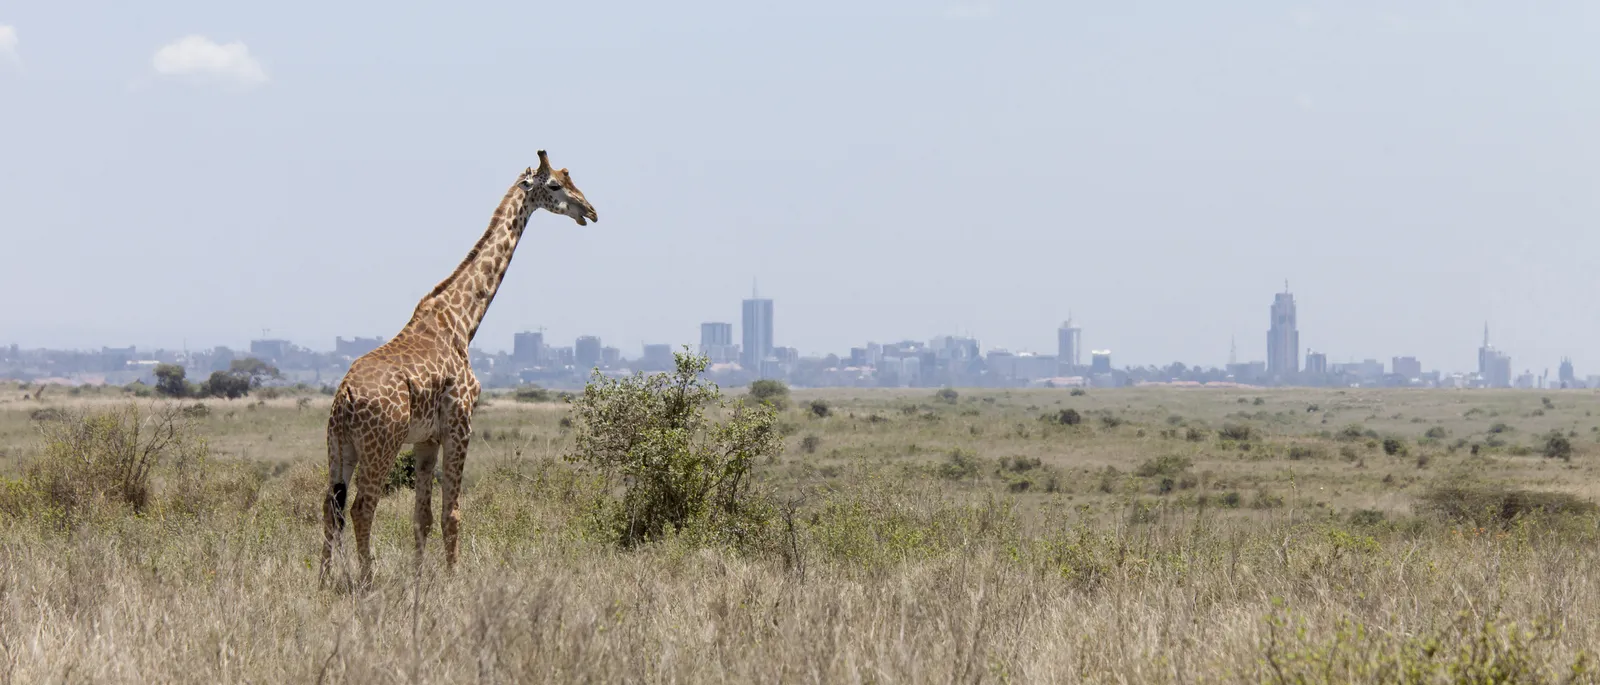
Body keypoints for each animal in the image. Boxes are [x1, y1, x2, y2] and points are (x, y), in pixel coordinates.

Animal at [321, 150, 597, 587]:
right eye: (554, 184)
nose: (590, 211)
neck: (463, 321)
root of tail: (344, 398)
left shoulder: (426, 438)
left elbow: (422, 515)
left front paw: (419, 578)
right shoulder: (460, 423)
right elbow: (452, 513)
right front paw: (454, 579)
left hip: (338, 445)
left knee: (330, 508)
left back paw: (322, 580)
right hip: (380, 444)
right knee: (362, 507)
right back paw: (367, 580)